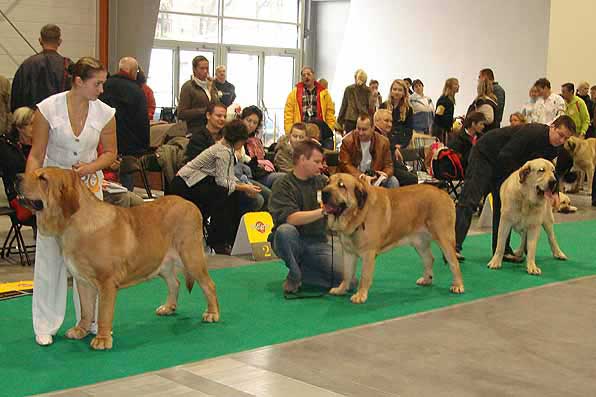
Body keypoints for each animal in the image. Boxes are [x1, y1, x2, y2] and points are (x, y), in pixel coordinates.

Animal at [18, 168, 221, 350]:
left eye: (43, 178)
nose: (17, 177)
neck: (73, 224)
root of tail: (189, 203)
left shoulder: (106, 282)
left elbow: (103, 313)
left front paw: (102, 339)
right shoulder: (82, 281)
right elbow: (86, 310)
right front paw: (81, 330)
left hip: (191, 257)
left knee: (208, 285)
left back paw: (212, 313)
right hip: (162, 263)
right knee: (175, 283)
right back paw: (168, 307)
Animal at [322, 172, 466, 304]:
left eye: (341, 185)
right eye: (327, 182)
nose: (324, 193)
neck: (358, 213)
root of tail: (444, 193)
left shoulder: (368, 254)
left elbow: (364, 276)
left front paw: (360, 295)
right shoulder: (349, 253)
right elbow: (347, 274)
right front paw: (341, 289)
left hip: (444, 238)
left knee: (454, 263)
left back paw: (458, 285)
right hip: (419, 242)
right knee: (429, 259)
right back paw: (426, 280)